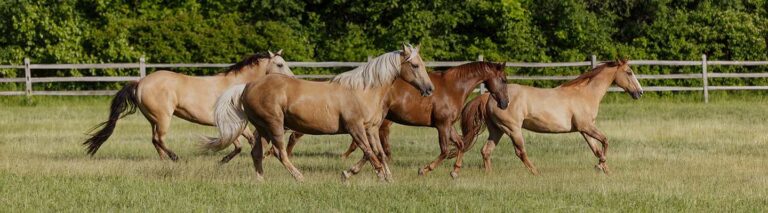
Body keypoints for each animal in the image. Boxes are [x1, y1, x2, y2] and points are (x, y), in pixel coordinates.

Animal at [83, 50, 294, 161]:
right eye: (280, 64)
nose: (292, 79)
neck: (234, 87)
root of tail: (140, 82)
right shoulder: (231, 124)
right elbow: (242, 142)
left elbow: (242, 143)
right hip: (163, 118)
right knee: (159, 139)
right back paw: (175, 157)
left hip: (153, 120)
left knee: (155, 140)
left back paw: (165, 161)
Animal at [206, 44, 432, 181]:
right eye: (414, 65)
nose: (429, 89)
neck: (363, 90)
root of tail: (247, 86)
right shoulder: (356, 129)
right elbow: (370, 154)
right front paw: (375, 177)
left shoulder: (372, 129)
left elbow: (379, 153)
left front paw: (388, 178)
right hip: (274, 125)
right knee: (280, 153)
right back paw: (299, 177)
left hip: (262, 128)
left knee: (257, 152)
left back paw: (260, 180)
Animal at [286, 61, 510, 178]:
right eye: (504, 79)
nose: (505, 103)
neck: (453, 87)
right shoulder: (442, 125)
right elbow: (446, 150)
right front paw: (424, 169)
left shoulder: (448, 126)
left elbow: (460, 144)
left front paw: (455, 172)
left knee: (369, 148)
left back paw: (352, 170)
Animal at [456, 59, 640, 175]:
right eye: (629, 72)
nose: (639, 92)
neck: (585, 94)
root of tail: (489, 96)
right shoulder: (586, 126)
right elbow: (606, 141)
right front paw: (600, 165)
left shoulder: (584, 129)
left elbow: (596, 148)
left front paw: (605, 169)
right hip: (512, 129)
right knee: (520, 152)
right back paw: (536, 172)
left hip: (497, 130)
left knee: (486, 151)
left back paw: (489, 174)